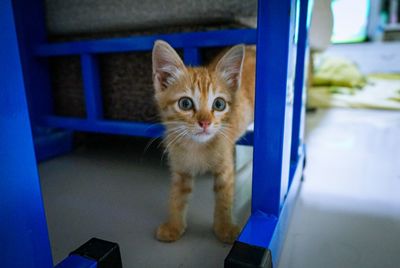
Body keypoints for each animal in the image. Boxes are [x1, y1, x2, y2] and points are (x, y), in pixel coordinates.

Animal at [152, 40, 255, 244]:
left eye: (219, 104)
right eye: (185, 103)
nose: (205, 122)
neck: (196, 146)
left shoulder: (225, 167)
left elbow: (224, 197)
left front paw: (224, 228)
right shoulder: (180, 169)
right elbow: (177, 196)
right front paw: (174, 227)